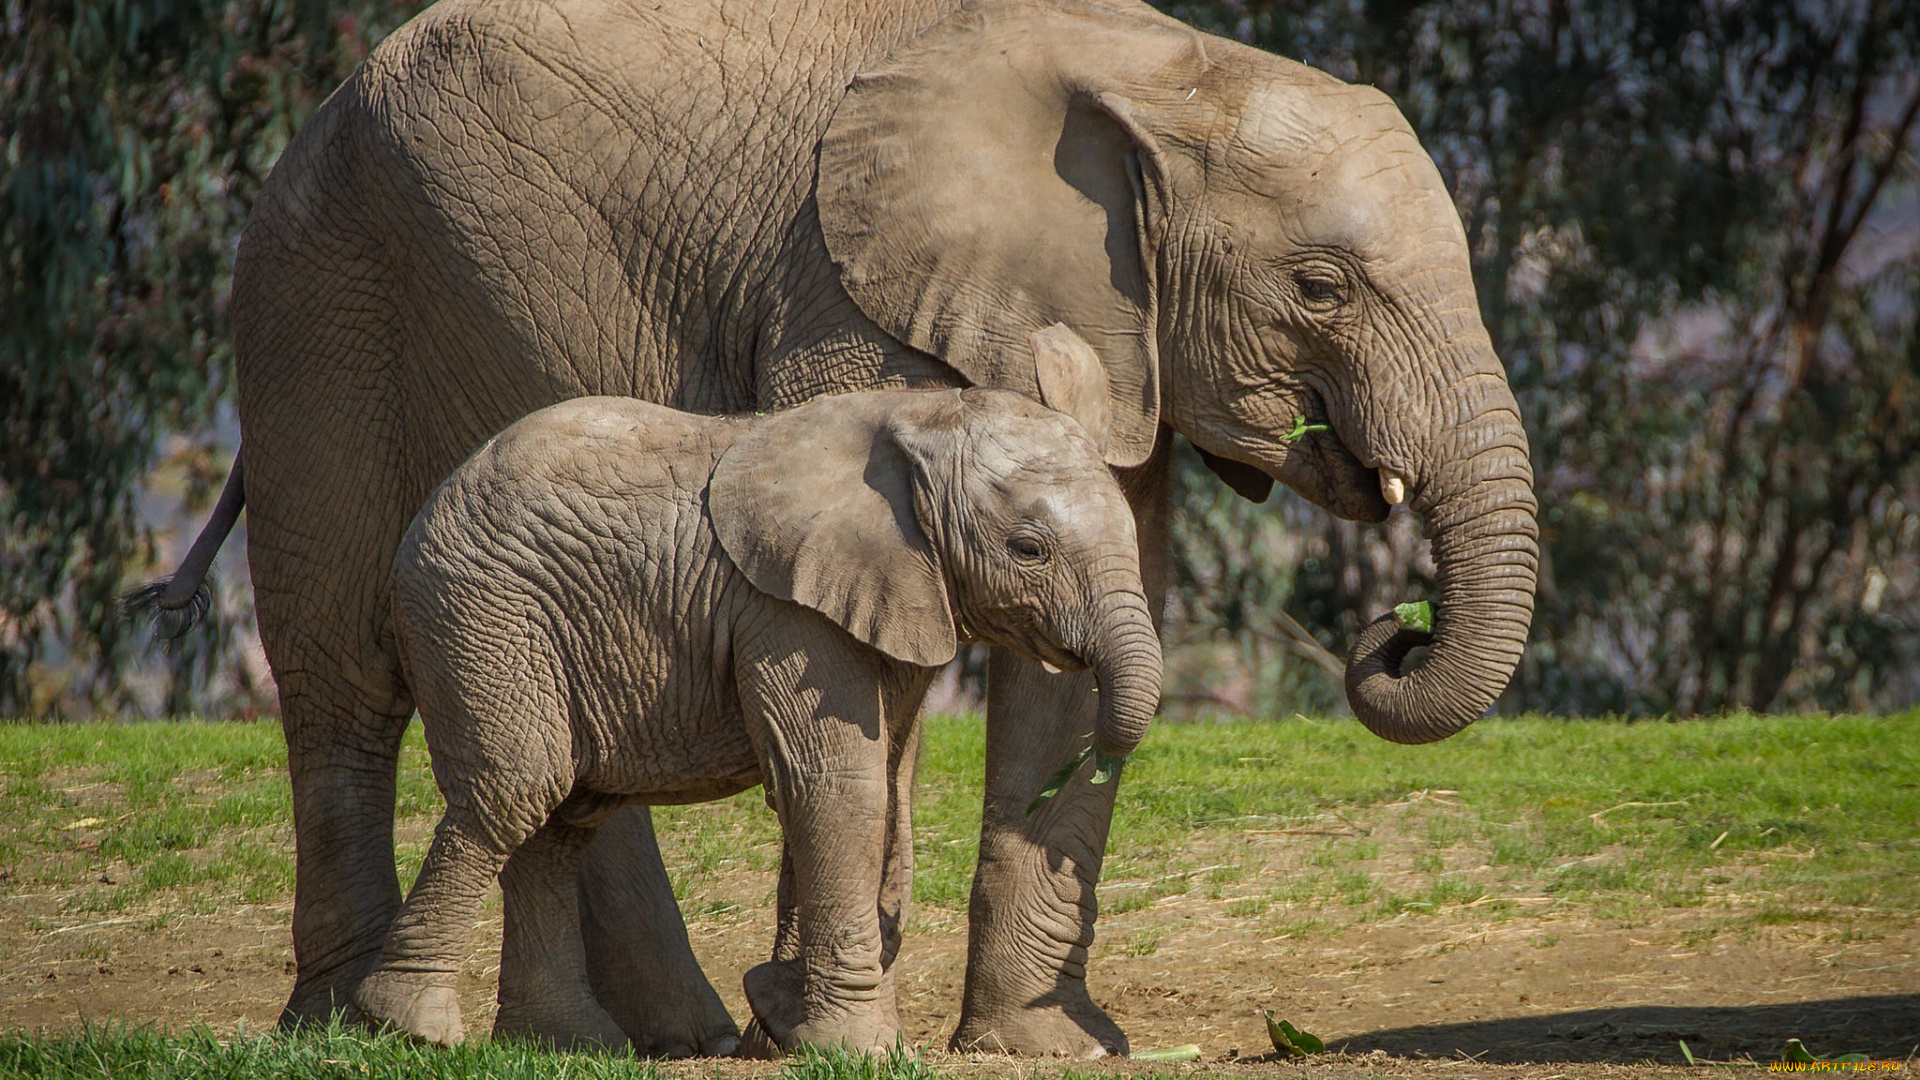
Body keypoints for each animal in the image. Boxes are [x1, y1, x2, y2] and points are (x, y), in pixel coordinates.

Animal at [353, 376, 1159, 1045]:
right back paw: (411, 1027)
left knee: (557, 825)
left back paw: (569, 1044)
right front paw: (855, 1047)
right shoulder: (785, 607)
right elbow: (837, 785)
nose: (1089, 756)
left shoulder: (896, 595)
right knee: (516, 789)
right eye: (1029, 550)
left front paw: (783, 1015)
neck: (919, 413)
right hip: (479, 618)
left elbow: (886, 781)